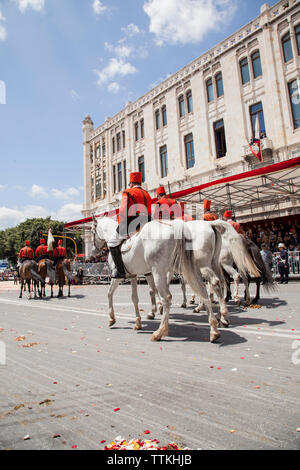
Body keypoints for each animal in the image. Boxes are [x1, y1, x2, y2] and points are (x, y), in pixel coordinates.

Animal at [90, 216, 221, 342]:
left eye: (92, 231)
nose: (93, 252)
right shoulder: (133, 275)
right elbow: (135, 298)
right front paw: (138, 322)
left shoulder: (118, 276)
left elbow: (109, 293)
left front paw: (112, 318)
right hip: (190, 268)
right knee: (204, 290)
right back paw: (214, 329)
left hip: (161, 272)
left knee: (168, 297)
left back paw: (160, 332)